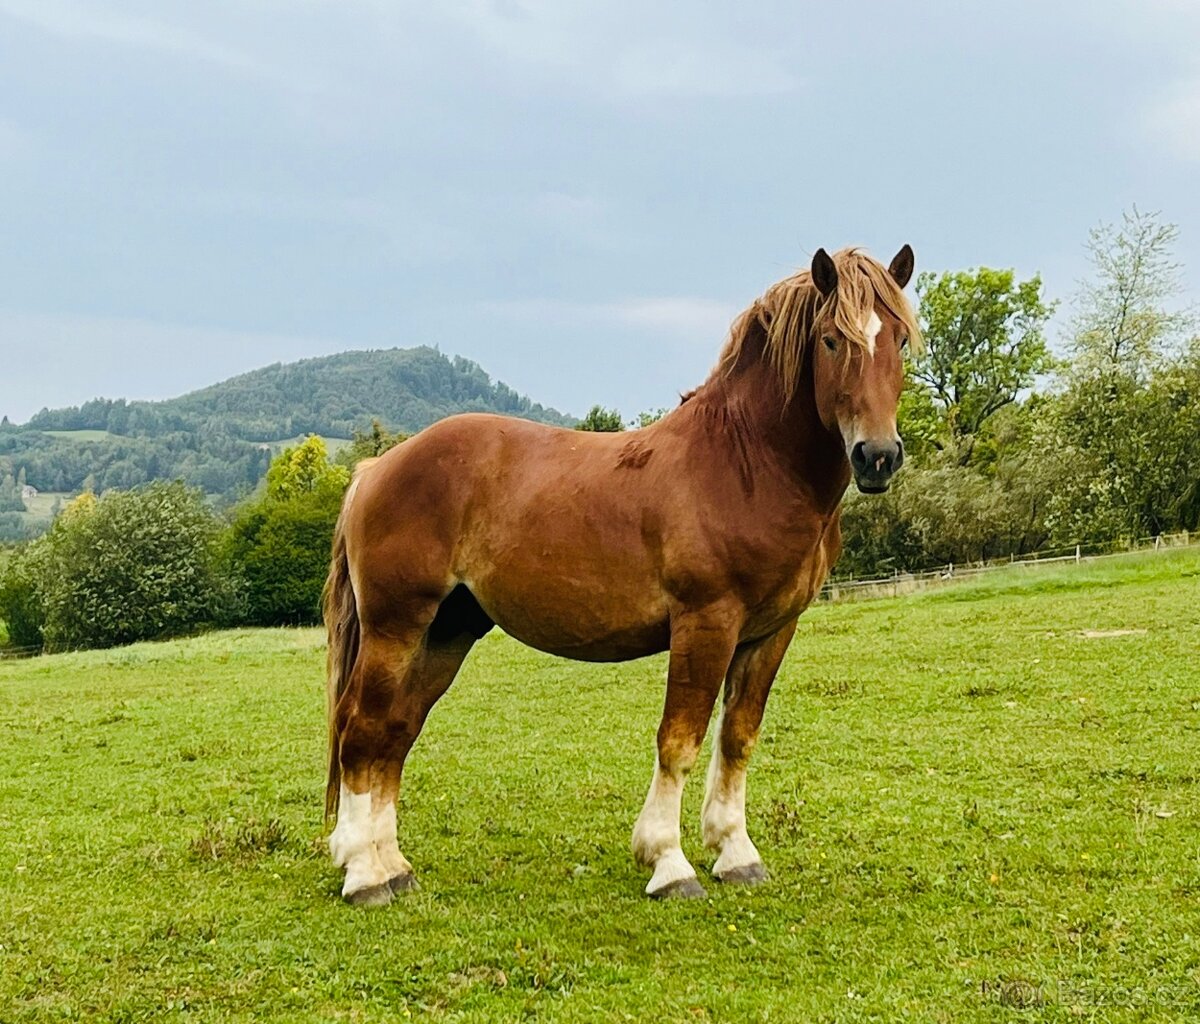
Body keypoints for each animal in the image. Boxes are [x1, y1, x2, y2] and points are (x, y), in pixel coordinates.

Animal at [321, 246, 916, 902]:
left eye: (900, 340)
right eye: (832, 340)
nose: (877, 457)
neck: (745, 464)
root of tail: (375, 468)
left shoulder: (770, 632)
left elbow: (737, 738)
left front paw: (736, 854)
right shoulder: (706, 623)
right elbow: (679, 741)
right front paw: (669, 863)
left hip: (446, 632)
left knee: (395, 733)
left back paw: (393, 866)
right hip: (395, 628)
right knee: (361, 731)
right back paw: (363, 873)